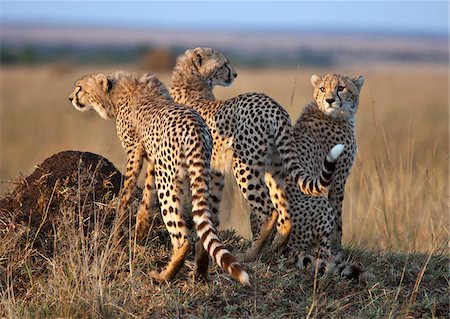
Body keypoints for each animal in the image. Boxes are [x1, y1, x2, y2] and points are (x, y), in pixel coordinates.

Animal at [68, 72, 250, 284]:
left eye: (80, 87)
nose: (71, 98)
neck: (116, 92)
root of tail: (196, 126)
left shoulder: (134, 151)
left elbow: (127, 193)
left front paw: (118, 233)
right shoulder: (154, 160)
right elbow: (147, 195)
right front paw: (140, 230)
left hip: (169, 182)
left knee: (182, 237)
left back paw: (164, 276)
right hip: (198, 173)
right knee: (204, 228)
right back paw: (200, 273)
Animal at [171, 48, 342, 262]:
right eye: (224, 64)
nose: (235, 74)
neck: (192, 81)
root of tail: (274, 106)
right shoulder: (214, 167)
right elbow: (212, 202)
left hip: (244, 165)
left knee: (269, 213)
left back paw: (250, 254)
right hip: (274, 169)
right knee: (284, 214)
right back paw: (272, 249)